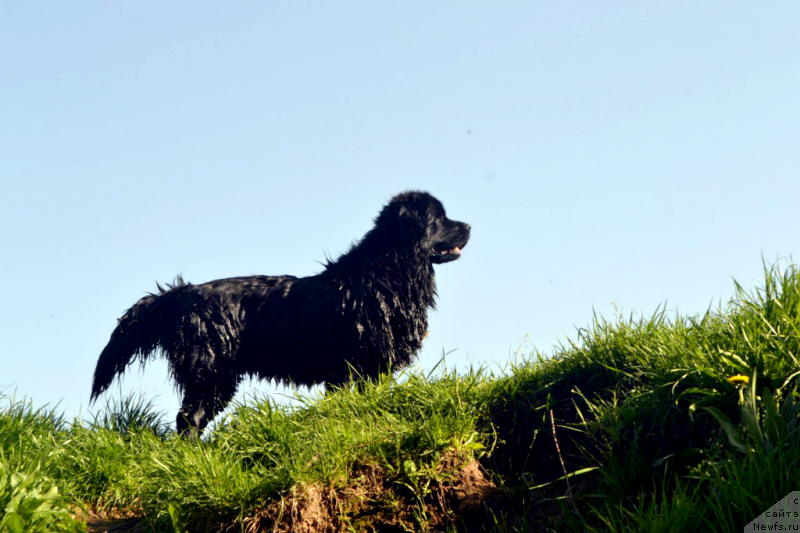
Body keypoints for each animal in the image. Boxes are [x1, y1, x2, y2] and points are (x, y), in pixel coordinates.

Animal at [90, 191, 468, 432]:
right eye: (440, 218)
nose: (468, 226)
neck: (389, 271)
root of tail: (185, 293)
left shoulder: (366, 368)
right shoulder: (357, 363)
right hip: (210, 372)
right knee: (188, 419)